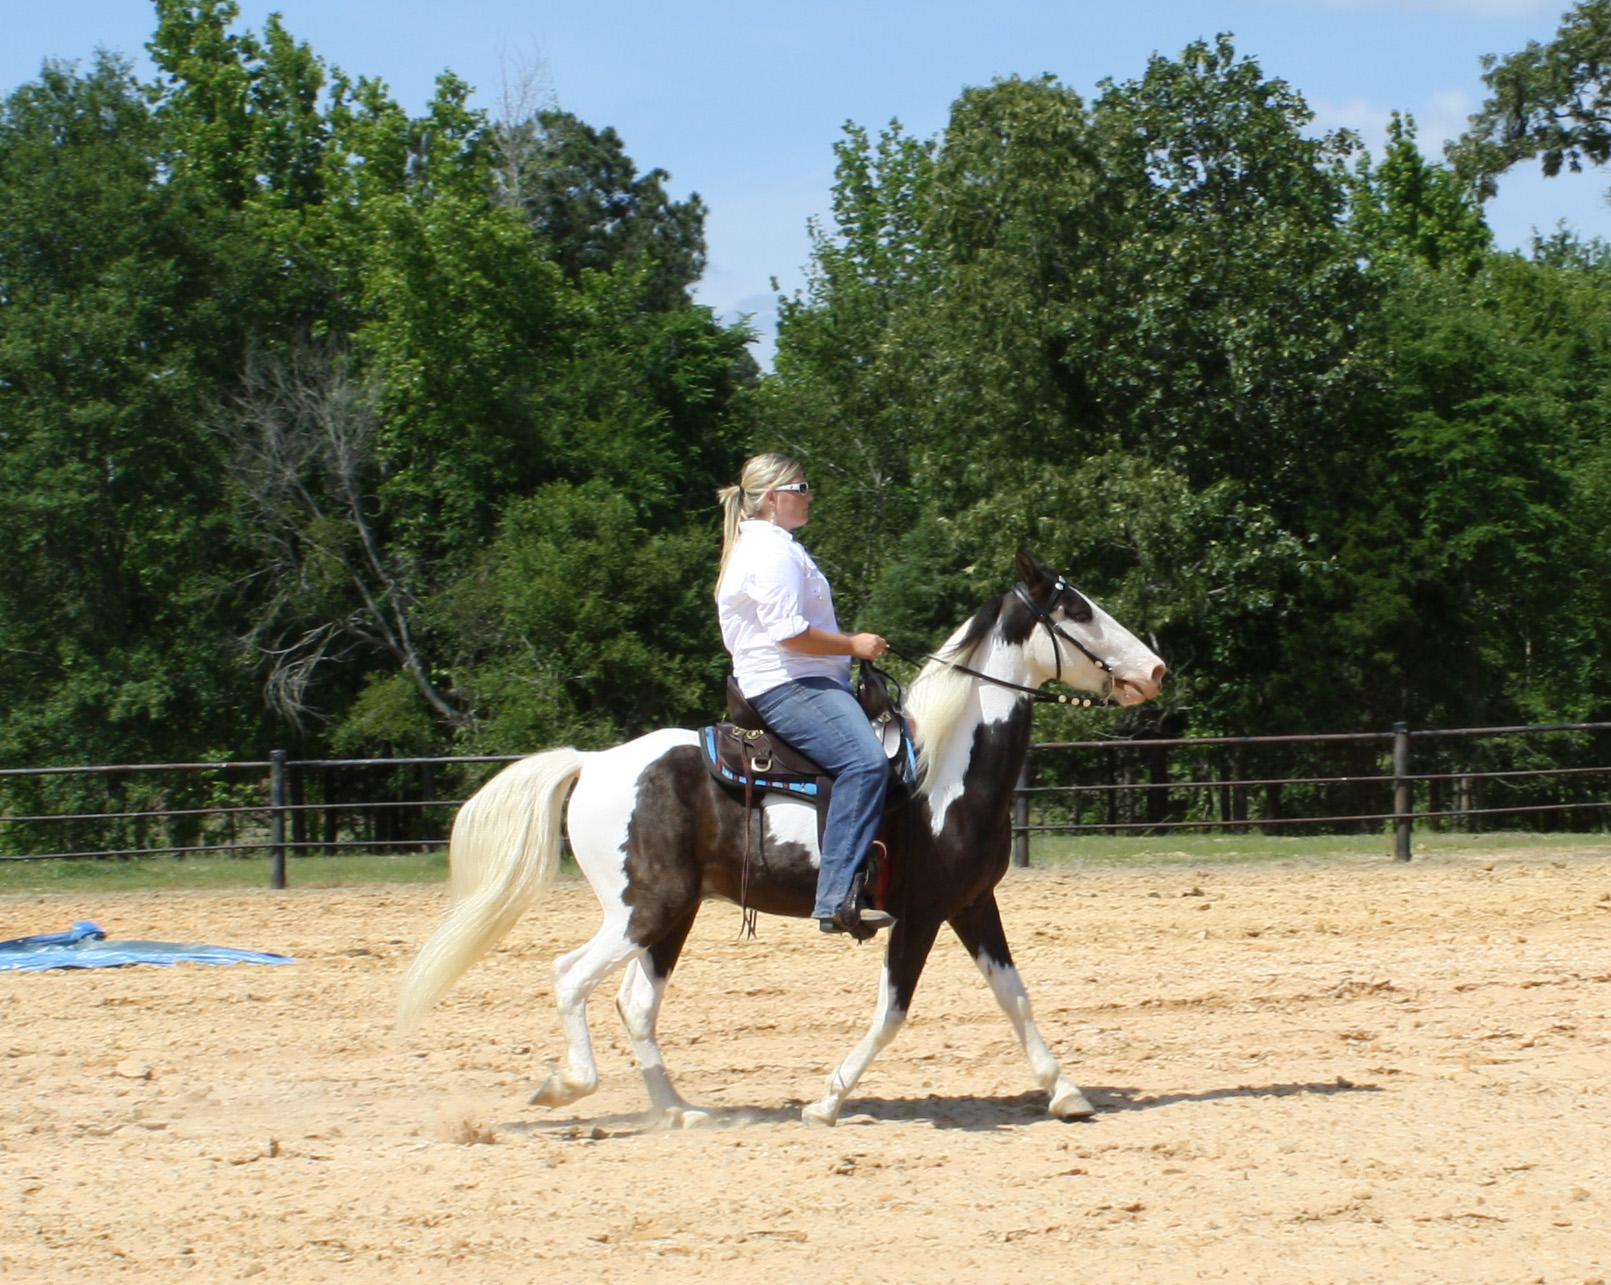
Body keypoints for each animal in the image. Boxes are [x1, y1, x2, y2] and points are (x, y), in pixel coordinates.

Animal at [397, 548, 1166, 1127]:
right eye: (1077, 609)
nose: (1155, 669)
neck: (943, 773)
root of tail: (592, 763)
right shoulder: (919, 913)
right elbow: (893, 1010)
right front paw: (827, 1099)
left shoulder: (972, 904)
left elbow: (1015, 996)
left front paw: (1067, 1092)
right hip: (642, 908)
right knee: (570, 976)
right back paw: (569, 1085)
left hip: (671, 914)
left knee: (635, 1004)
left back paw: (679, 1111)